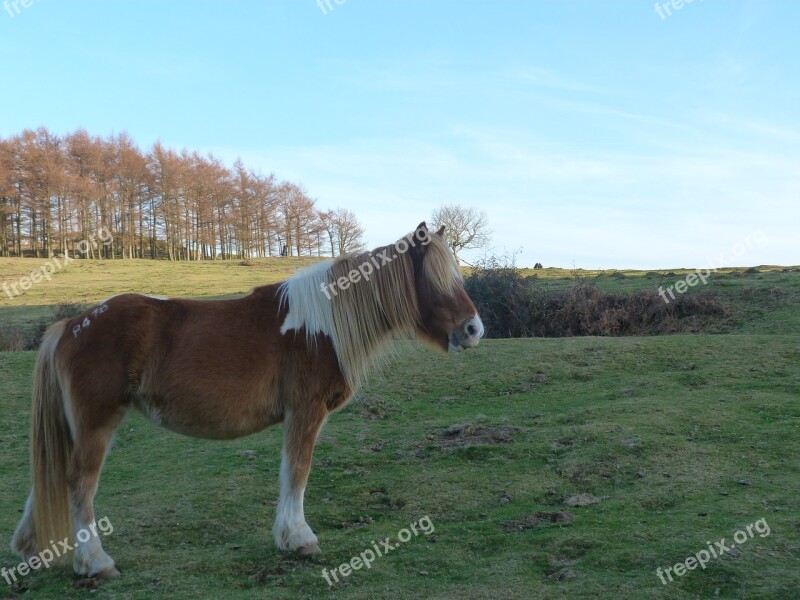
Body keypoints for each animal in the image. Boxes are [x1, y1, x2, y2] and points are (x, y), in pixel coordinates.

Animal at [10, 223, 482, 580]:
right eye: (435, 280)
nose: (475, 329)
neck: (322, 325)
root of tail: (72, 324)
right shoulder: (305, 412)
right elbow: (297, 472)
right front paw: (298, 539)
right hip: (96, 425)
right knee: (78, 483)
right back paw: (95, 562)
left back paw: (35, 550)